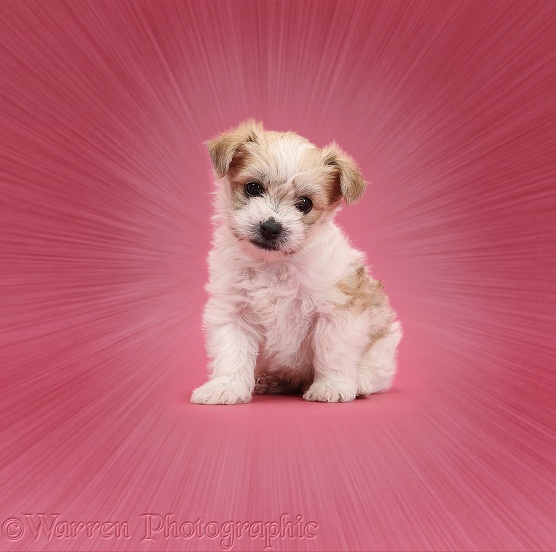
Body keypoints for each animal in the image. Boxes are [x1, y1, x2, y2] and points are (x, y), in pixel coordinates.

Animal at [190, 122, 400, 406]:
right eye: (253, 188)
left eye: (304, 204)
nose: (271, 227)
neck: (274, 264)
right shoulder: (233, 311)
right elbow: (232, 352)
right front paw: (225, 387)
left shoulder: (336, 311)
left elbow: (332, 352)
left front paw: (332, 386)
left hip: (383, 346)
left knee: (376, 372)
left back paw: (361, 383)